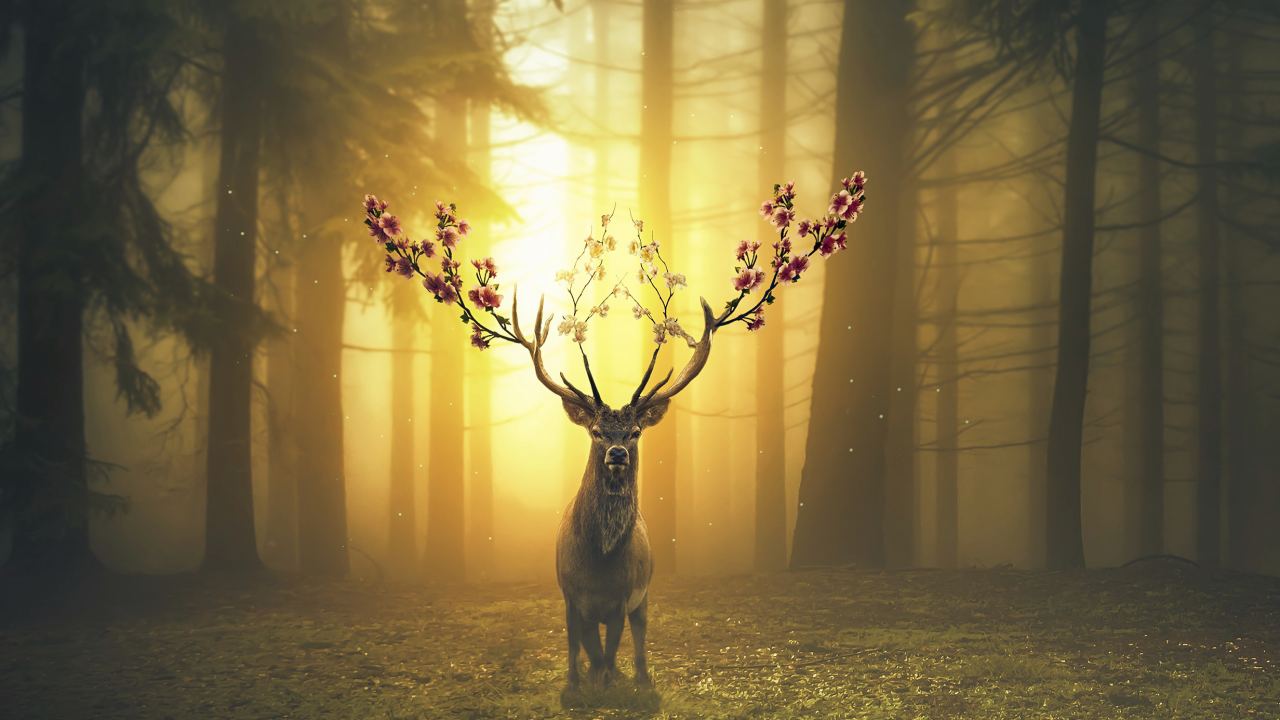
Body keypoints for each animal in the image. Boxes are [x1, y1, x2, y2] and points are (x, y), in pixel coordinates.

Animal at [362, 172, 866, 692]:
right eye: (597, 430)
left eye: (637, 430)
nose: (618, 454)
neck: (600, 566)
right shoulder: (567, 594)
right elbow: (577, 645)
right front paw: (577, 685)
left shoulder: (626, 597)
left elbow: (612, 645)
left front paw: (612, 683)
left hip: (646, 595)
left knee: (637, 636)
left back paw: (639, 679)